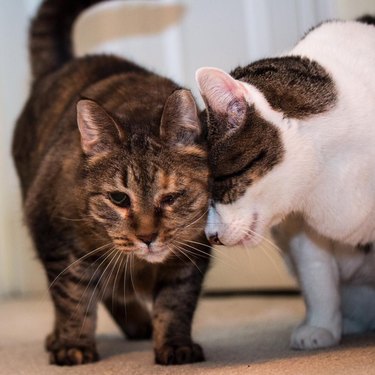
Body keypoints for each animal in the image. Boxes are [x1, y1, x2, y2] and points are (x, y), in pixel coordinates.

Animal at [12, 0, 212, 368]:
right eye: (119, 198)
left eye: (172, 197)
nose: (147, 237)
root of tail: (62, 65)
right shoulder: (57, 241)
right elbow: (73, 297)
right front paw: (72, 344)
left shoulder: (192, 251)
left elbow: (175, 301)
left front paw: (174, 343)